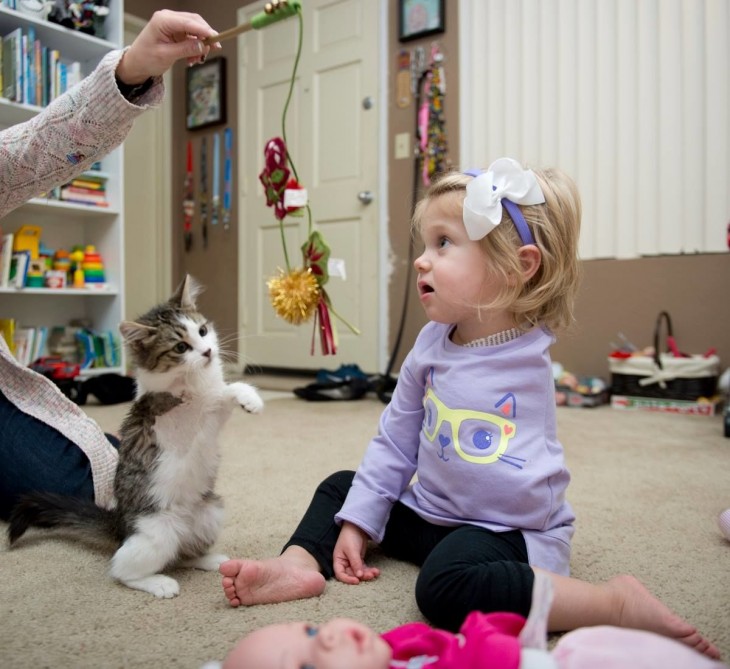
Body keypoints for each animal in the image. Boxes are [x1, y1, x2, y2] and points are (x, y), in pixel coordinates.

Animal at [7, 274, 264, 596]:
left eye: (203, 331)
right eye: (181, 347)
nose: (207, 352)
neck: (193, 381)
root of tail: (119, 524)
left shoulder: (212, 416)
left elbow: (225, 392)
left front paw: (250, 398)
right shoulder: (174, 413)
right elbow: (211, 398)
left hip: (211, 513)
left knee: (182, 554)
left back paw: (210, 559)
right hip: (156, 533)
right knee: (122, 570)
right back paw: (160, 583)